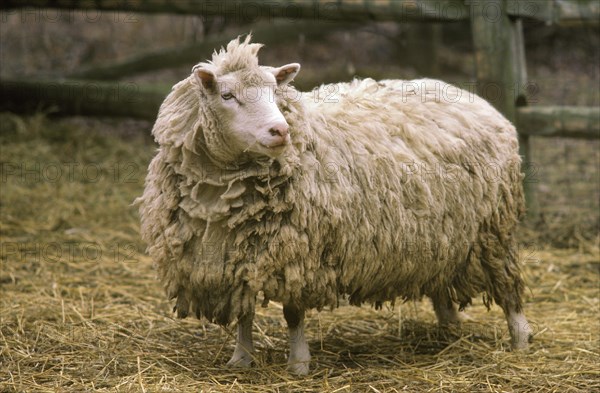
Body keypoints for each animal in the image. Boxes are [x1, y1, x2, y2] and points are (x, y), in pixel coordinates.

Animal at [137, 36, 536, 374]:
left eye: (275, 92)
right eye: (227, 94)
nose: (280, 131)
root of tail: (475, 98)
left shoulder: (298, 251)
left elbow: (293, 314)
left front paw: (298, 364)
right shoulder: (233, 258)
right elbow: (244, 311)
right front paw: (241, 359)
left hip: (493, 230)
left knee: (509, 287)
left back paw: (520, 340)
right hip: (441, 234)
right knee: (440, 276)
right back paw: (449, 326)